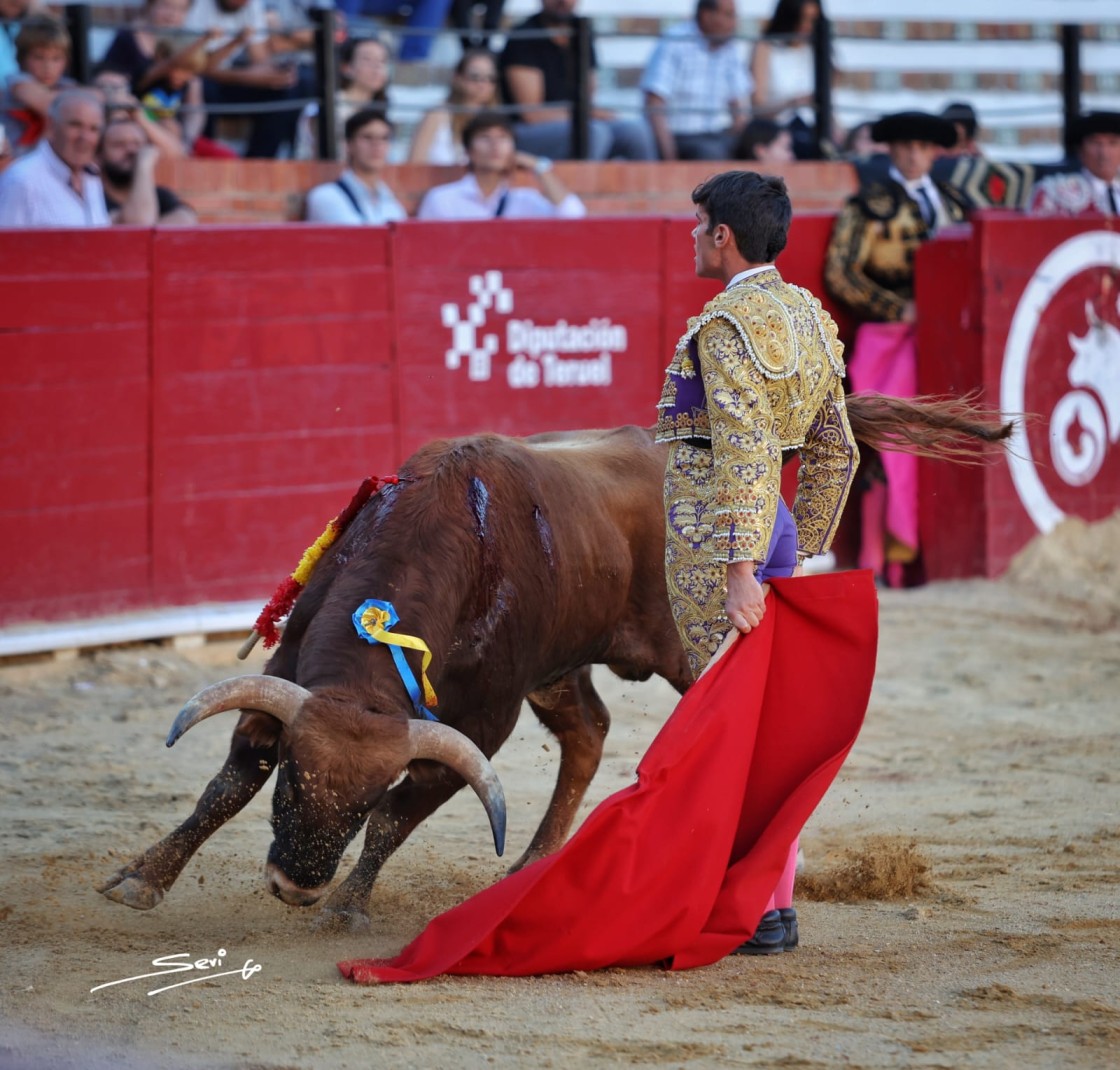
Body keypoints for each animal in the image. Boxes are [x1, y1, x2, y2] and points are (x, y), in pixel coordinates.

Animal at [98, 401, 1008, 927]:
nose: (295, 886)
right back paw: (536, 865)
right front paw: (143, 878)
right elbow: (226, 785)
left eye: (357, 802)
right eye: (294, 778)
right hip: (561, 668)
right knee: (590, 731)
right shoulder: (292, 673)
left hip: (691, 646)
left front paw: (348, 909)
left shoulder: (483, 720)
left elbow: (402, 815)